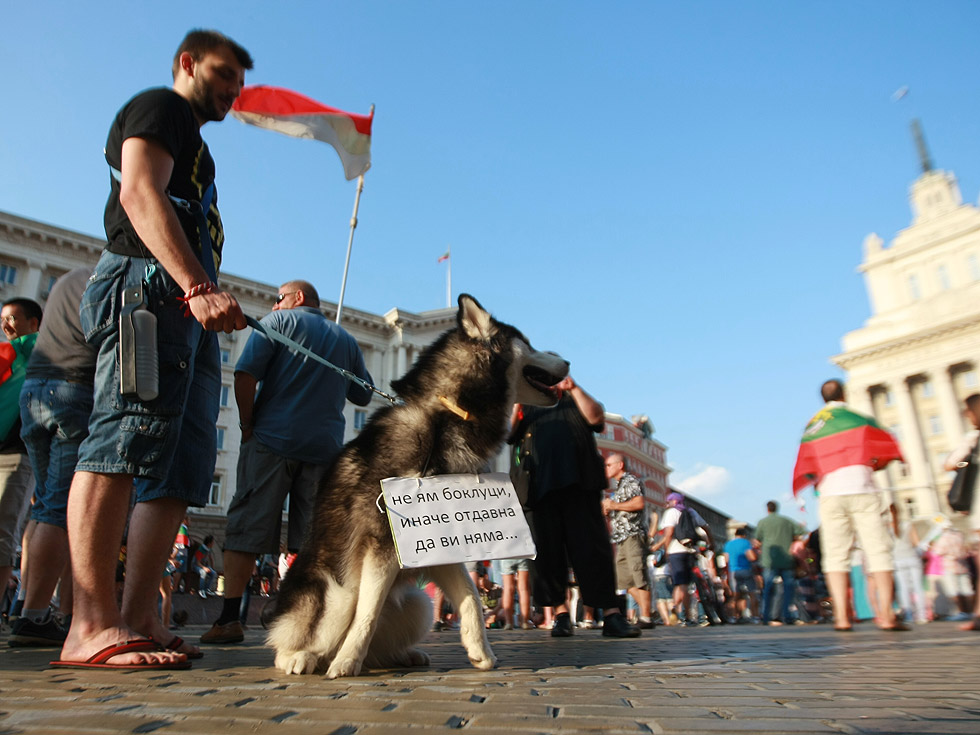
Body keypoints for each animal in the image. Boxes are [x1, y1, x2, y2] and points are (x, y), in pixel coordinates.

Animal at [268, 294, 568, 680]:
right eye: (527, 343)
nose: (567, 361)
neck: (446, 417)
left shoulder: (441, 543)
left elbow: (470, 597)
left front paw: (481, 651)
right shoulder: (382, 543)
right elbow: (366, 615)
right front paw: (347, 663)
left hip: (418, 603)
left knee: (378, 645)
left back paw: (401, 655)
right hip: (337, 594)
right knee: (300, 637)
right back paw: (303, 658)